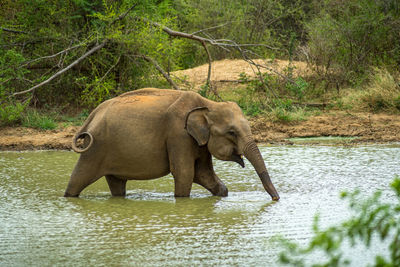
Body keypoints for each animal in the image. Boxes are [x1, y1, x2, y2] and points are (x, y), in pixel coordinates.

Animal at [64, 88, 280, 201]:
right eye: (232, 133)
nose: (276, 199)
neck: (207, 104)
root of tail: (93, 113)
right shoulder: (178, 134)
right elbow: (185, 173)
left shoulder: (198, 140)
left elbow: (203, 173)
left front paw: (222, 194)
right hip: (95, 148)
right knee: (78, 179)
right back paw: (69, 197)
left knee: (116, 183)